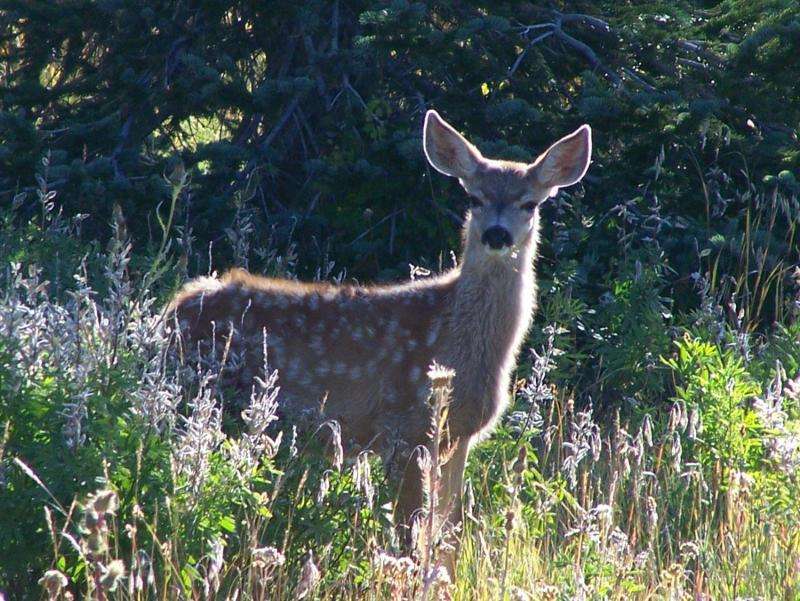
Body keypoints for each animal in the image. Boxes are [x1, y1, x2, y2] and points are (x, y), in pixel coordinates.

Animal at [169, 110, 592, 576]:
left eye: (529, 203)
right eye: (474, 197)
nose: (497, 235)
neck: (455, 340)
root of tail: (173, 310)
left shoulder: (458, 436)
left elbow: (448, 530)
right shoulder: (405, 426)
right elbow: (410, 534)